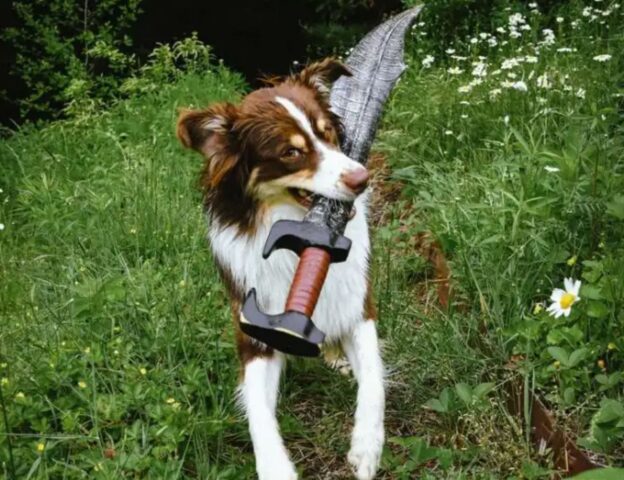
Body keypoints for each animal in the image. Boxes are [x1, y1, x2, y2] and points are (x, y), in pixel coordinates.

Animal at [177, 60, 386, 480]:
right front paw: (275, 466)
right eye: (291, 152)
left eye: (328, 133)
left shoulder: (359, 305)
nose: (362, 178)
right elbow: (258, 412)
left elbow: (373, 377)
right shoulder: (254, 330)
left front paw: (366, 446)